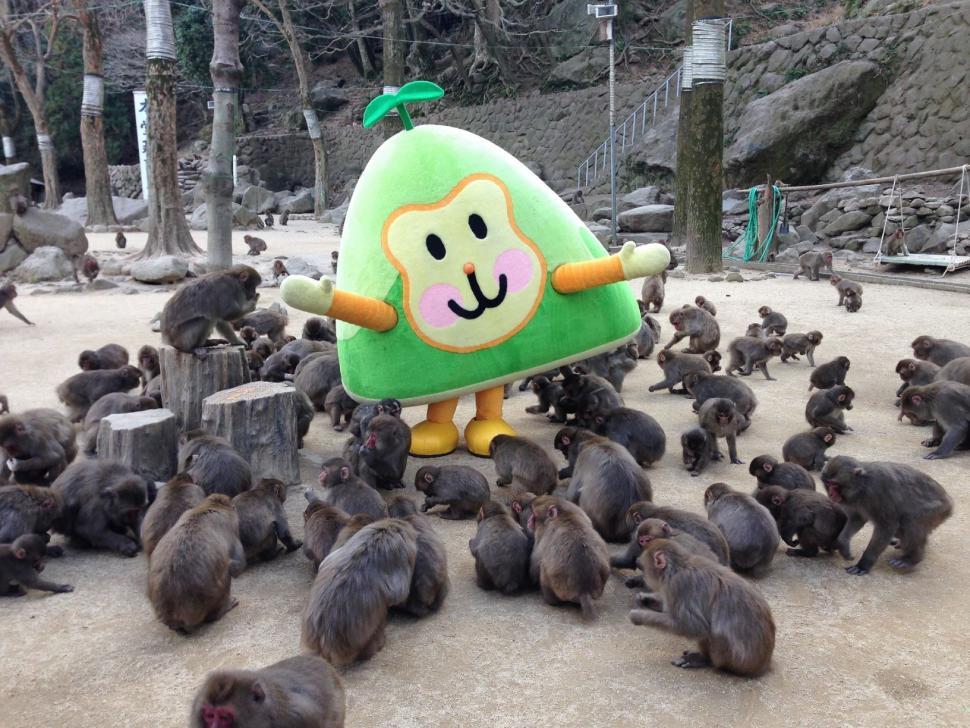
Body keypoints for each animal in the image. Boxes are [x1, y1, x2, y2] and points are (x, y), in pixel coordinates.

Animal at [628, 540, 780, 676]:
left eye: (641, 566)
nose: (636, 561)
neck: (677, 568)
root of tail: (764, 664)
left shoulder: (679, 585)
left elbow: (692, 626)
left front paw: (638, 616)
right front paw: (645, 599)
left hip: (736, 660)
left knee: (713, 631)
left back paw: (706, 660)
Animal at [820, 456, 948, 576]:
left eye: (835, 484)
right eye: (828, 483)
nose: (831, 494)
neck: (862, 486)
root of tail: (949, 502)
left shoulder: (878, 490)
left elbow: (887, 526)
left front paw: (863, 565)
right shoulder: (852, 501)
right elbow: (857, 519)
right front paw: (843, 543)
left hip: (936, 510)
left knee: (910, 521)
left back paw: (911, 559)